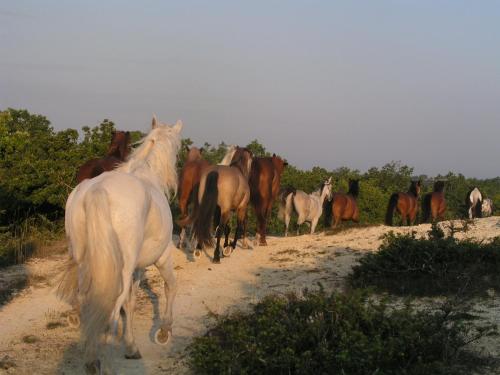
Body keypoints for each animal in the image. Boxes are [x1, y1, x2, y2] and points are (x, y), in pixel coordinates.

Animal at [57, 117, 182, 374]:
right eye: (177, 149)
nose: (174, 182)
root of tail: (96, 191)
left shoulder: (136, 269)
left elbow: (130, 304)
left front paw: (131, 346)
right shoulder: (162, 257)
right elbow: (171, 286)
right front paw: (164, 331)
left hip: (87, 264)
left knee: (90, 305)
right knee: (110, 315)